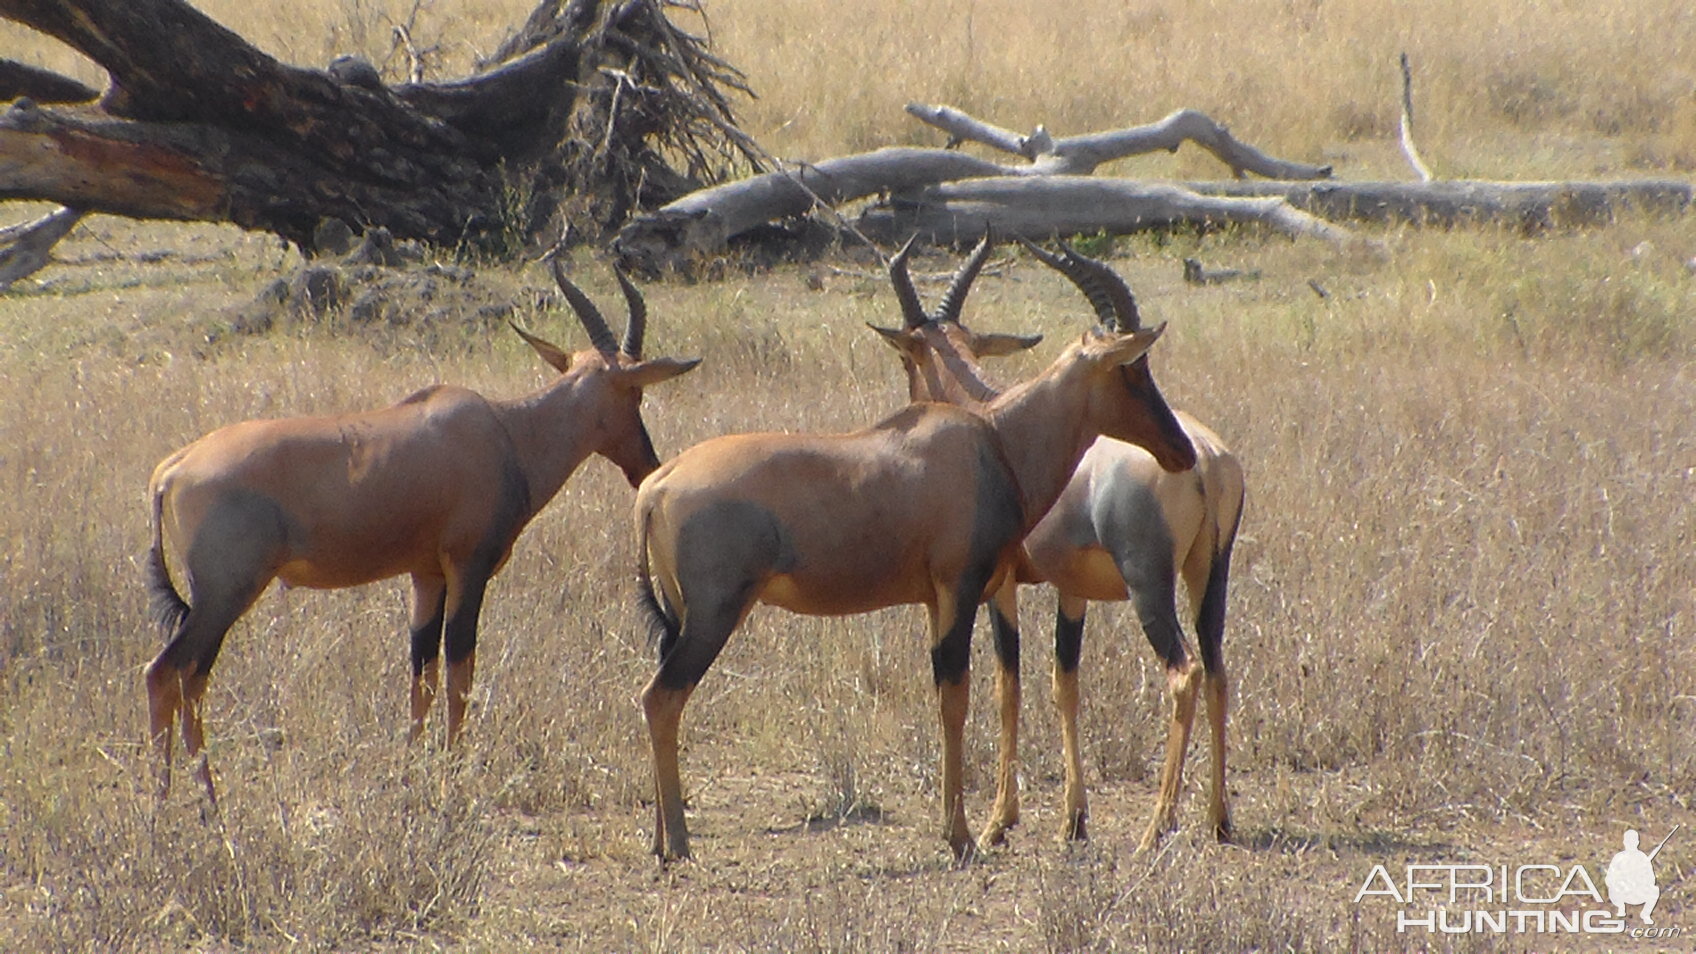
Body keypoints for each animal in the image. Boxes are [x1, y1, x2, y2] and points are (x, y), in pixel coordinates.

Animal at [142, 259, 698, 801]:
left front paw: (411, 772)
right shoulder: (468, 568)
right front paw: (454, 772)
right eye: (635, 391)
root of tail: (171, 469)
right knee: (167, 673)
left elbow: (421, 674)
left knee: (188, 681)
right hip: (225, 594)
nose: (647, 467)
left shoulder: (426, 576)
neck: (505, 431)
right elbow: (459, 669)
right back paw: (179, 803)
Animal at [630, 241, 1200, 858]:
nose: (1182, 450)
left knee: (659, 694)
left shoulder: (936, 600)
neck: (992, 438)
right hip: (715, 613)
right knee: (661, 697)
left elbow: (953, 691)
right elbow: (957, 695)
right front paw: (963, 837)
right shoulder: (961, 588)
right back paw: (679, 843)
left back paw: (660, 839)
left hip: (681, 616)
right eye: (1131, 367)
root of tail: (656, 485)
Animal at [875, 235, 1248, 845]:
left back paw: (1156, 827)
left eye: (909, 356)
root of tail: (1206, 460)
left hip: (1150, 586)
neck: (997, 420)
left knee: (1185, 673)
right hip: (1210, 574)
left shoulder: (998, 586)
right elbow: (1064, 683)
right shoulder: (1072, 591)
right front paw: (1073, 817)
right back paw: (1218, 819)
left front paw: (998, 822)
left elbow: (1008, 686)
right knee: (1217, 672)